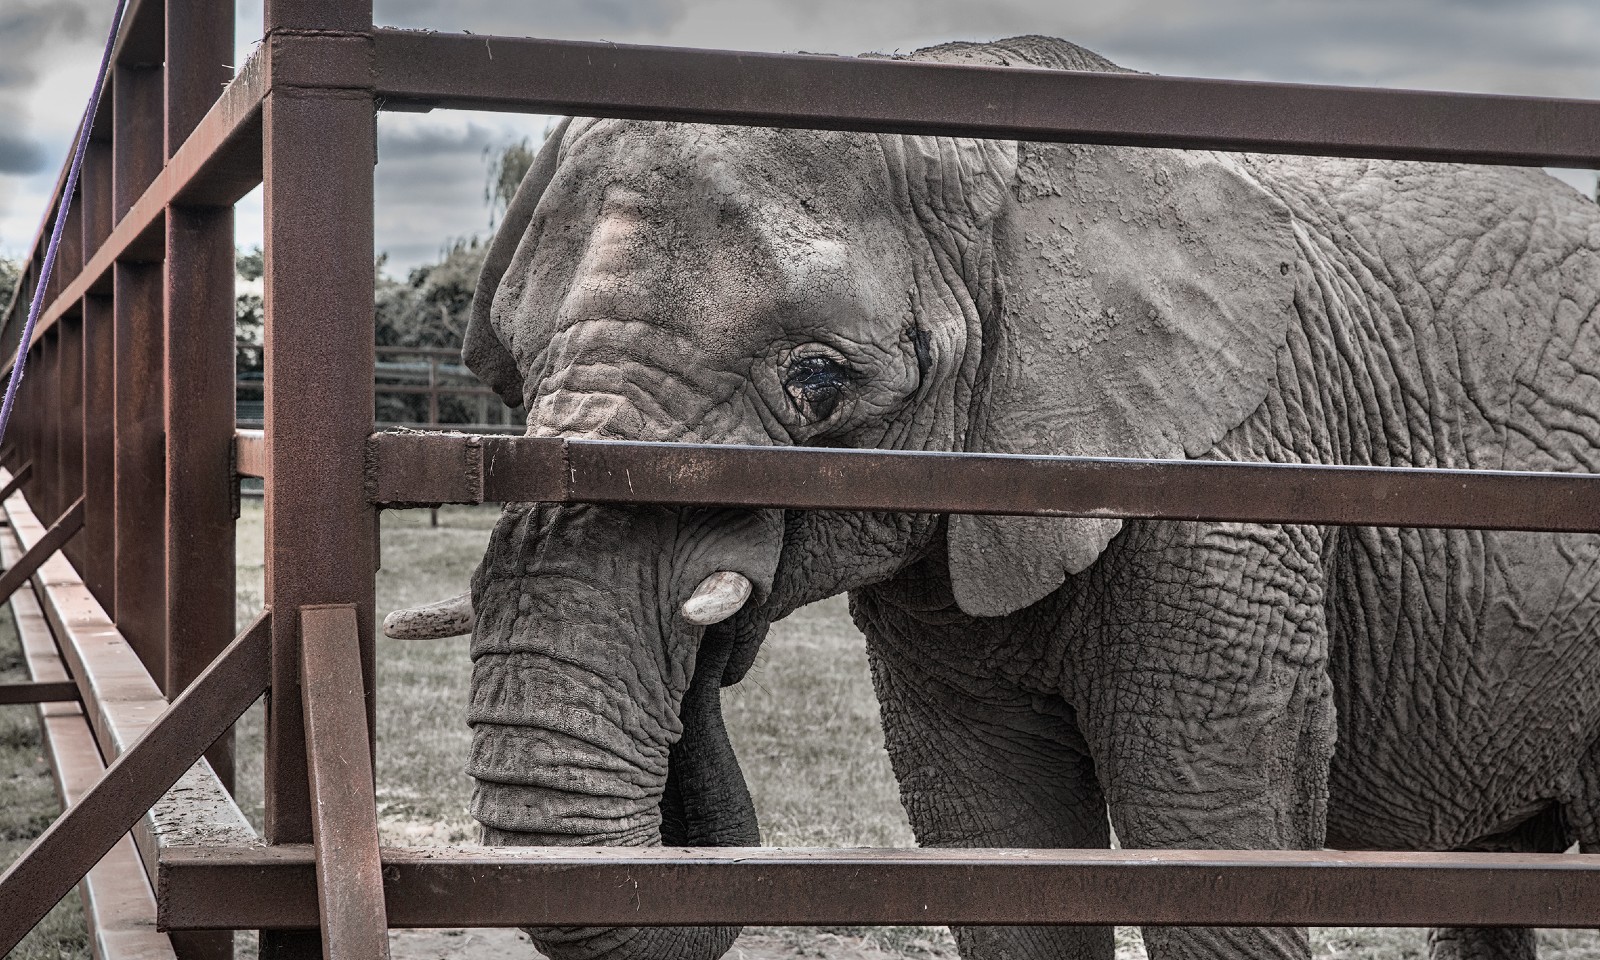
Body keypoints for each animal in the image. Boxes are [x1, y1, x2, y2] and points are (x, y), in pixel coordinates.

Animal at [403, 33, 1600, 960]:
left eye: (818, 384)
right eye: (506, 375)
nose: (711, 627)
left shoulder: (1231, 492)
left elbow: (1210, 839)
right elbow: (992, 840)